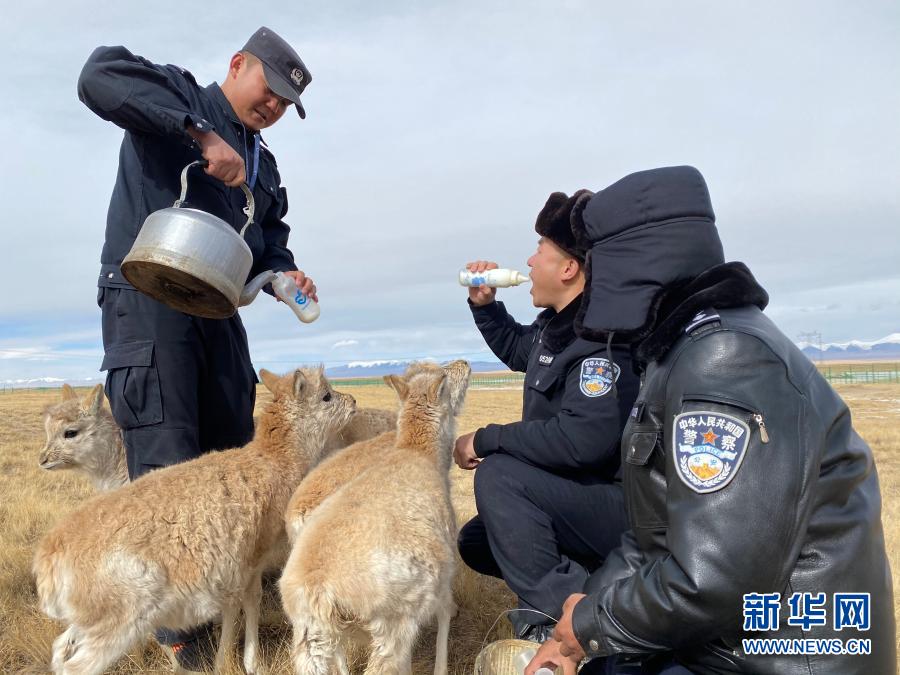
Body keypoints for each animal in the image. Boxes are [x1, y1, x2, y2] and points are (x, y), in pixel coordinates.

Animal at [33, 366, 355, 675]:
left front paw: (227, 660)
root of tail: (49, 553)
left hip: (88, 620)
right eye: (326, 395)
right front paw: (247, 663)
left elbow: (236, 605)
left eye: (69, 431)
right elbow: (249, 601)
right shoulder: (251, 559)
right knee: (74, 666)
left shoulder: (236, 566)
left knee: (60, 649)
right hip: (117, 623)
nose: (353, 401)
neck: (270, 461)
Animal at [279, 359, 471, 675]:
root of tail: (318, 588)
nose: (464, 363)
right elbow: (444, 614)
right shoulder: (443, 573)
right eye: (444, 376)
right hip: (393, 626)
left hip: (312, 640)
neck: (417, 452)